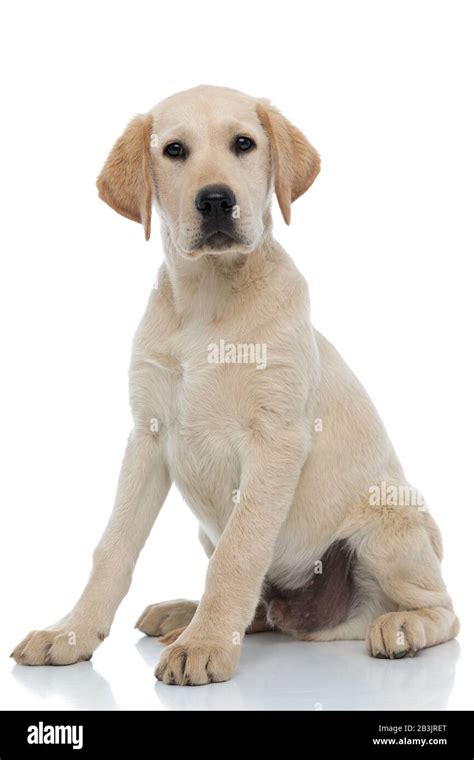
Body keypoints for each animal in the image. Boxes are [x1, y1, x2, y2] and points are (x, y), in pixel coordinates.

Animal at [12, 86, 460, 684]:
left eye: (244, 144)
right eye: (174, 150)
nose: (216, 201)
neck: (207, 303)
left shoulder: (276, 440)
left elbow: (238, 554)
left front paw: (204, 647)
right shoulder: (147, 436)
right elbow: (113, 547)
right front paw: (72, 632)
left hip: (392, 527)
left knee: (443, 610)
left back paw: (401, 626)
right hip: (211, 531)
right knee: (262, 608)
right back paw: (184, 614)